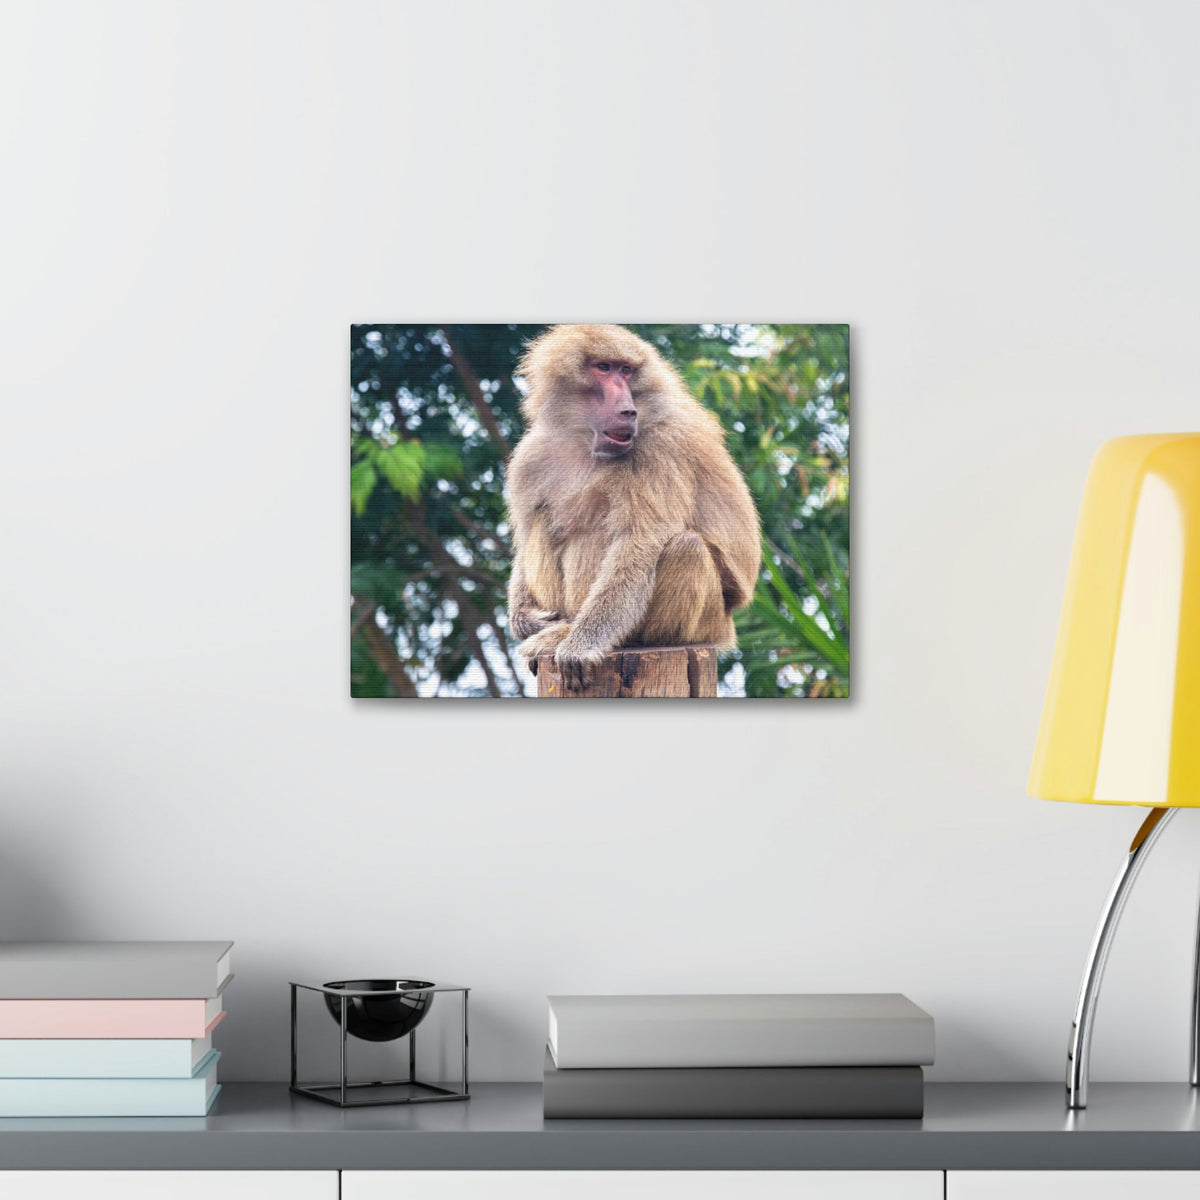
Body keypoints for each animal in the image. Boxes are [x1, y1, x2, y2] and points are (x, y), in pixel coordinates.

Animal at [505, 324, 761, 692]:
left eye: (626, 370)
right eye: (603, 367)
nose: (627, 410)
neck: (584, 441)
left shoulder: (659, 449)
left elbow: (637, 543)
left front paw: (580, 647)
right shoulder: (531, 456)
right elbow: (525, 538)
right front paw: (525, 620)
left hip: (707, 624)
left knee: (685, 547)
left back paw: (588, 637)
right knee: (544, 521)